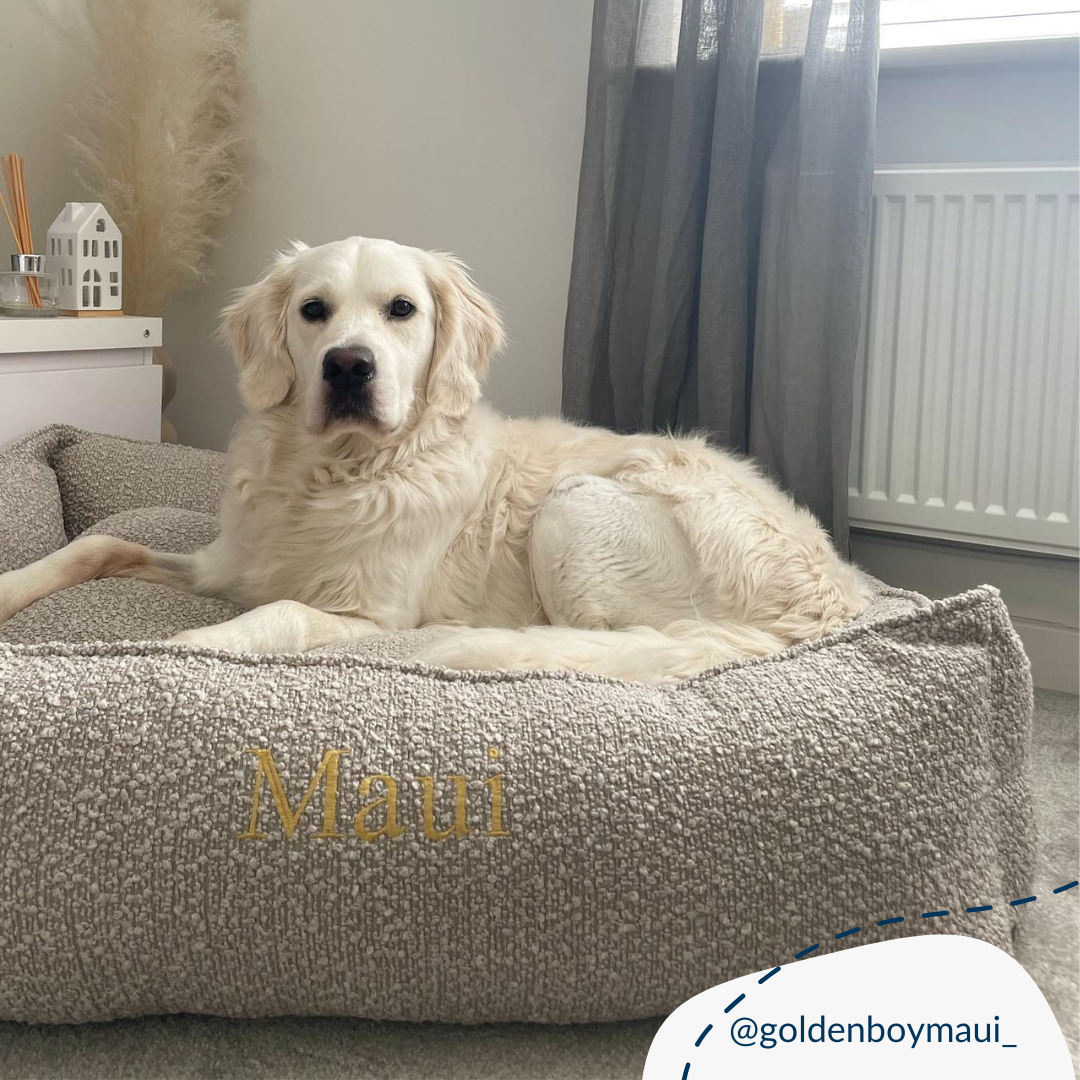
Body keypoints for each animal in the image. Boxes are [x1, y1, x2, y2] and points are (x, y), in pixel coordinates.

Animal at [0, 236, 864, 682]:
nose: (349, 367)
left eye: (402, 310)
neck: (334, 473)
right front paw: (13, 590)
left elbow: (275, 615)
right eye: (313, 310)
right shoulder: (226, 564)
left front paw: (173, 652)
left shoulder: (371, 614)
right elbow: (99, 544)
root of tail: (833, 599)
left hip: (574, 509)